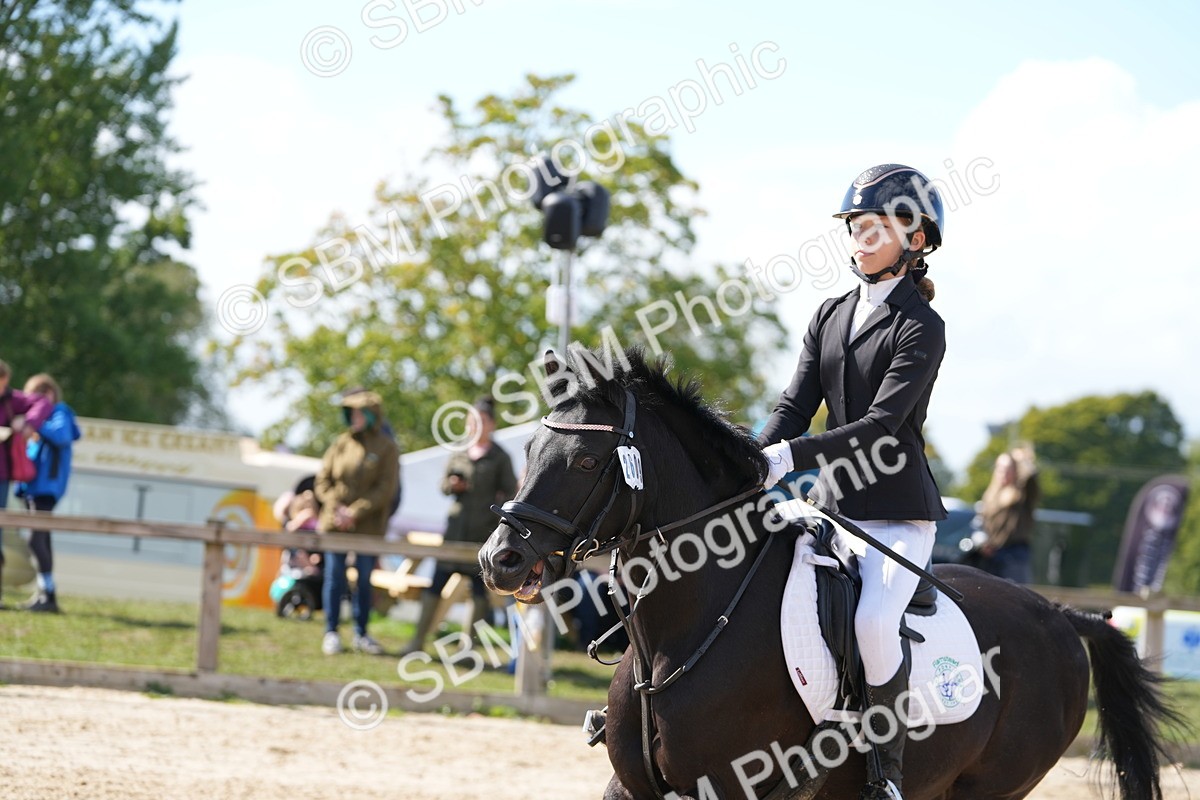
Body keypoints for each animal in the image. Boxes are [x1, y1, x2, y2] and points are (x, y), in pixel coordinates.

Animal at [478, 349, 1181, 799]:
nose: (499, 559)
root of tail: (1058, 615)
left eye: (588, 459)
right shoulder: (633, 788)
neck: (682, 635)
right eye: (531, 450)